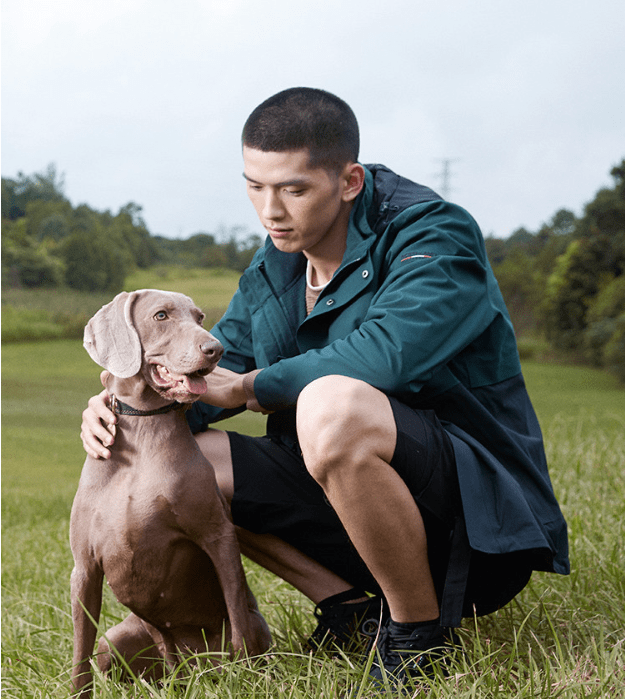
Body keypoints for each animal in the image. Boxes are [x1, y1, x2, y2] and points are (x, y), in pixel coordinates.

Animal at [70, 288, 270, 696]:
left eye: (199, 316)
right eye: (161, 315)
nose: (215, 349)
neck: (144, 426)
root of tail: (192, 666)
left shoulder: (218, 536)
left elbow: (237, 616)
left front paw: (244, 681)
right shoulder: (84, 567)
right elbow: (80, 654)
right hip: (118, 640)